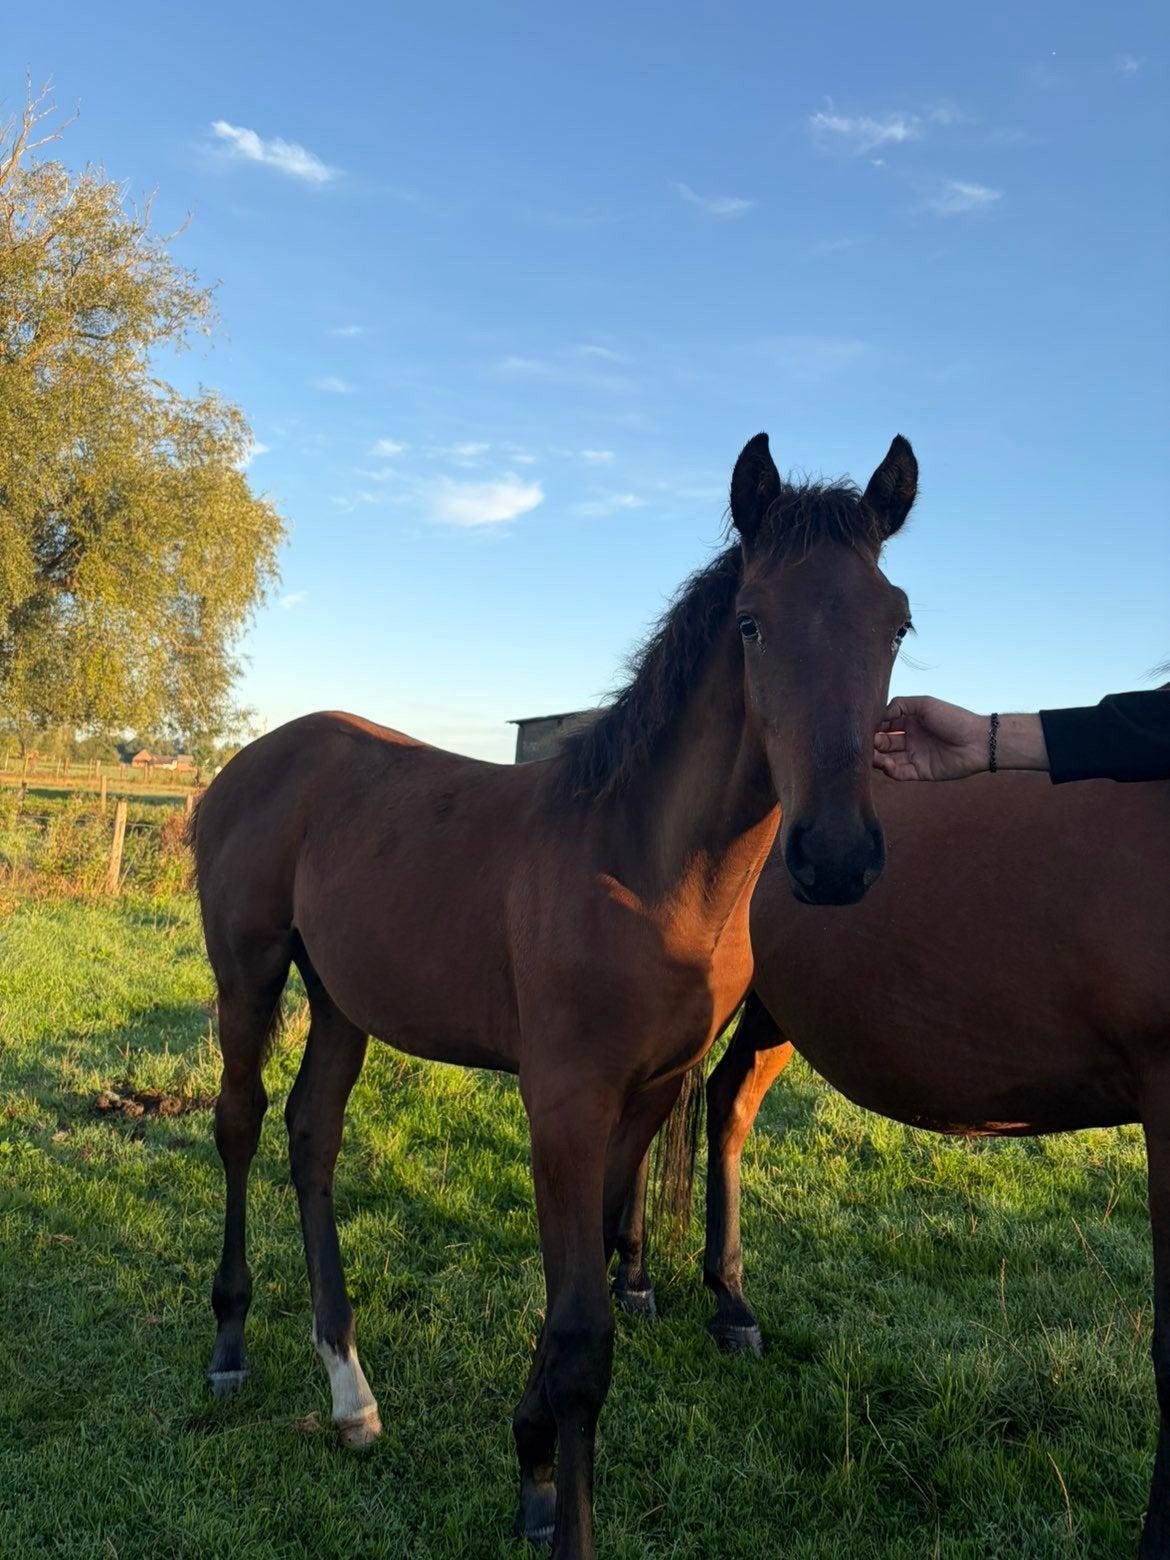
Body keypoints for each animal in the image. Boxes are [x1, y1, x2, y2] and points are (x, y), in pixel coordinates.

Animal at [188, 430, 918, 1559]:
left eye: (897, 624)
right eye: (753, 623)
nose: (835, 856)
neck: (646, 866)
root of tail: (257, 756)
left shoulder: (647, 1094)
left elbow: (597, 1274)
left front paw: (531, 1463)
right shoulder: (564, 1102)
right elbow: (582, 1341)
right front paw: (556, 1500)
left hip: (344, 996)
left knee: (313, 1135)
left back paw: (351, 1390)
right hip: (250, 970)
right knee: (240, 1122)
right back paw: (231, 1345)